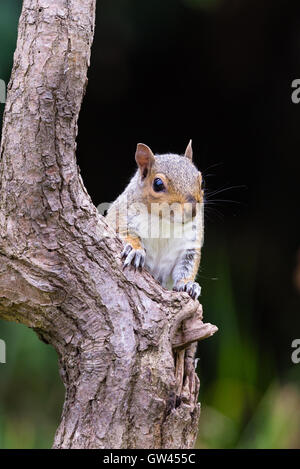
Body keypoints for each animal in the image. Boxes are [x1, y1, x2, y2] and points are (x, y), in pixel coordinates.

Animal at [105, 140, 204, 300]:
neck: (165, 221)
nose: (193, 210)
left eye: (202, 182)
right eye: (158, 184)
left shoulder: (190, 241)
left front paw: (188, 284)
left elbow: (187, 265)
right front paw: (136, 250)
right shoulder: (122, 214)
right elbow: (124, 231)